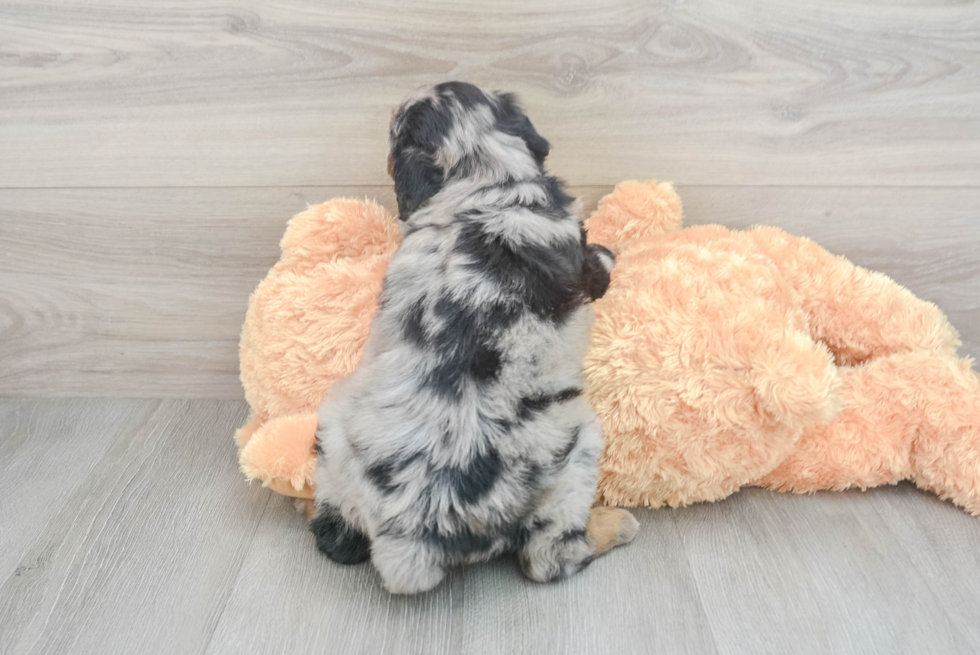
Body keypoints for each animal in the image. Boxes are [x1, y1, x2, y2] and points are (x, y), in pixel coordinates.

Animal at [310, 80, 640, 596]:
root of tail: (418, 531)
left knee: (334, 535)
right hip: (578, 452)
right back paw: (615, 524)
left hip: (333, 425)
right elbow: (601, 261)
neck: (486, 177)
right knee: (550, 558)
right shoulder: (584, 263)